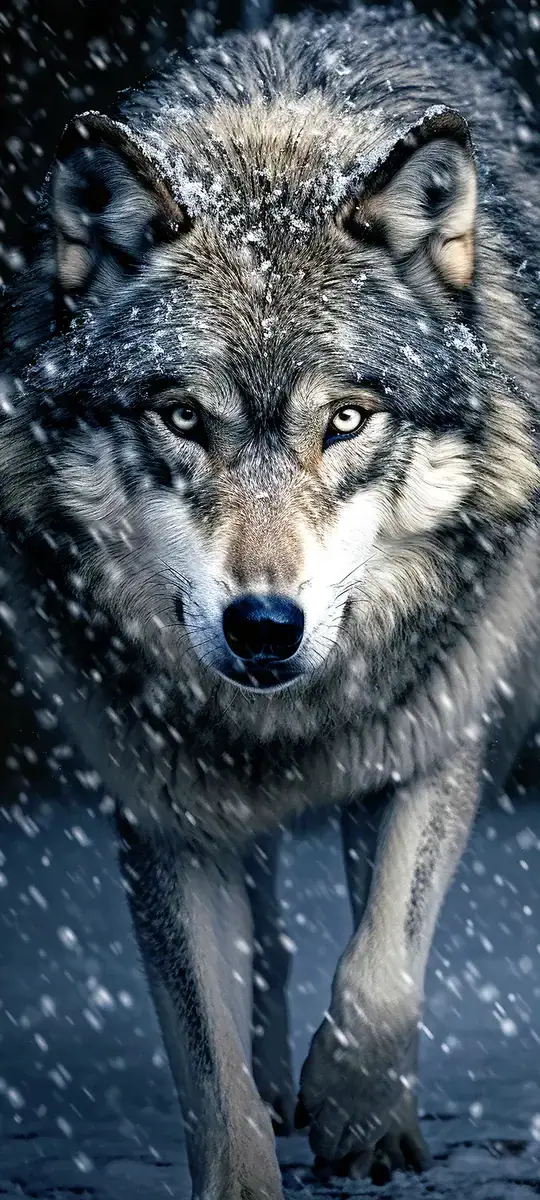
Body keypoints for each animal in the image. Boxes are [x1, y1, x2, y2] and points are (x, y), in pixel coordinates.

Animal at [1, 3, 540, 1196]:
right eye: (181, 418)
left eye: (345, 419)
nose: (263, 625)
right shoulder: (157, 805)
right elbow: (210, 1069)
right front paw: (255, 1157)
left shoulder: (437, 741)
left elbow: (381, 969)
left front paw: (358, 1113)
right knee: (269, 944)